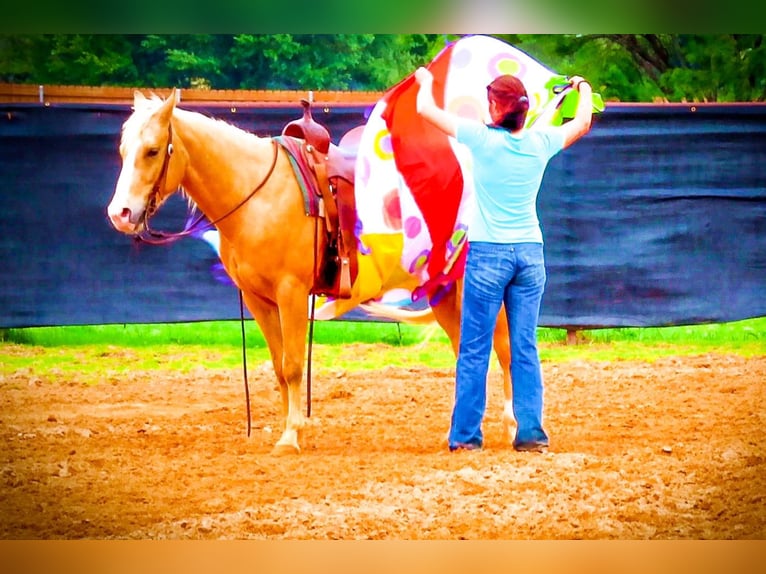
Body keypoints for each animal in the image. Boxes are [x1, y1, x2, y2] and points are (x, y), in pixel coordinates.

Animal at [106, 90, 516, 456]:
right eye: (123, 151)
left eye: (152, 150)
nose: (120, 214)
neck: (259, 196)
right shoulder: (258, 300)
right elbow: (277, 366)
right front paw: (290, 427)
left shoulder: (291, 292)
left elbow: (291, 365)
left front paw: (290, 436)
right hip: (443, 292)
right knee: (466, 351)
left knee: (503, 347)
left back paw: (513, 426)